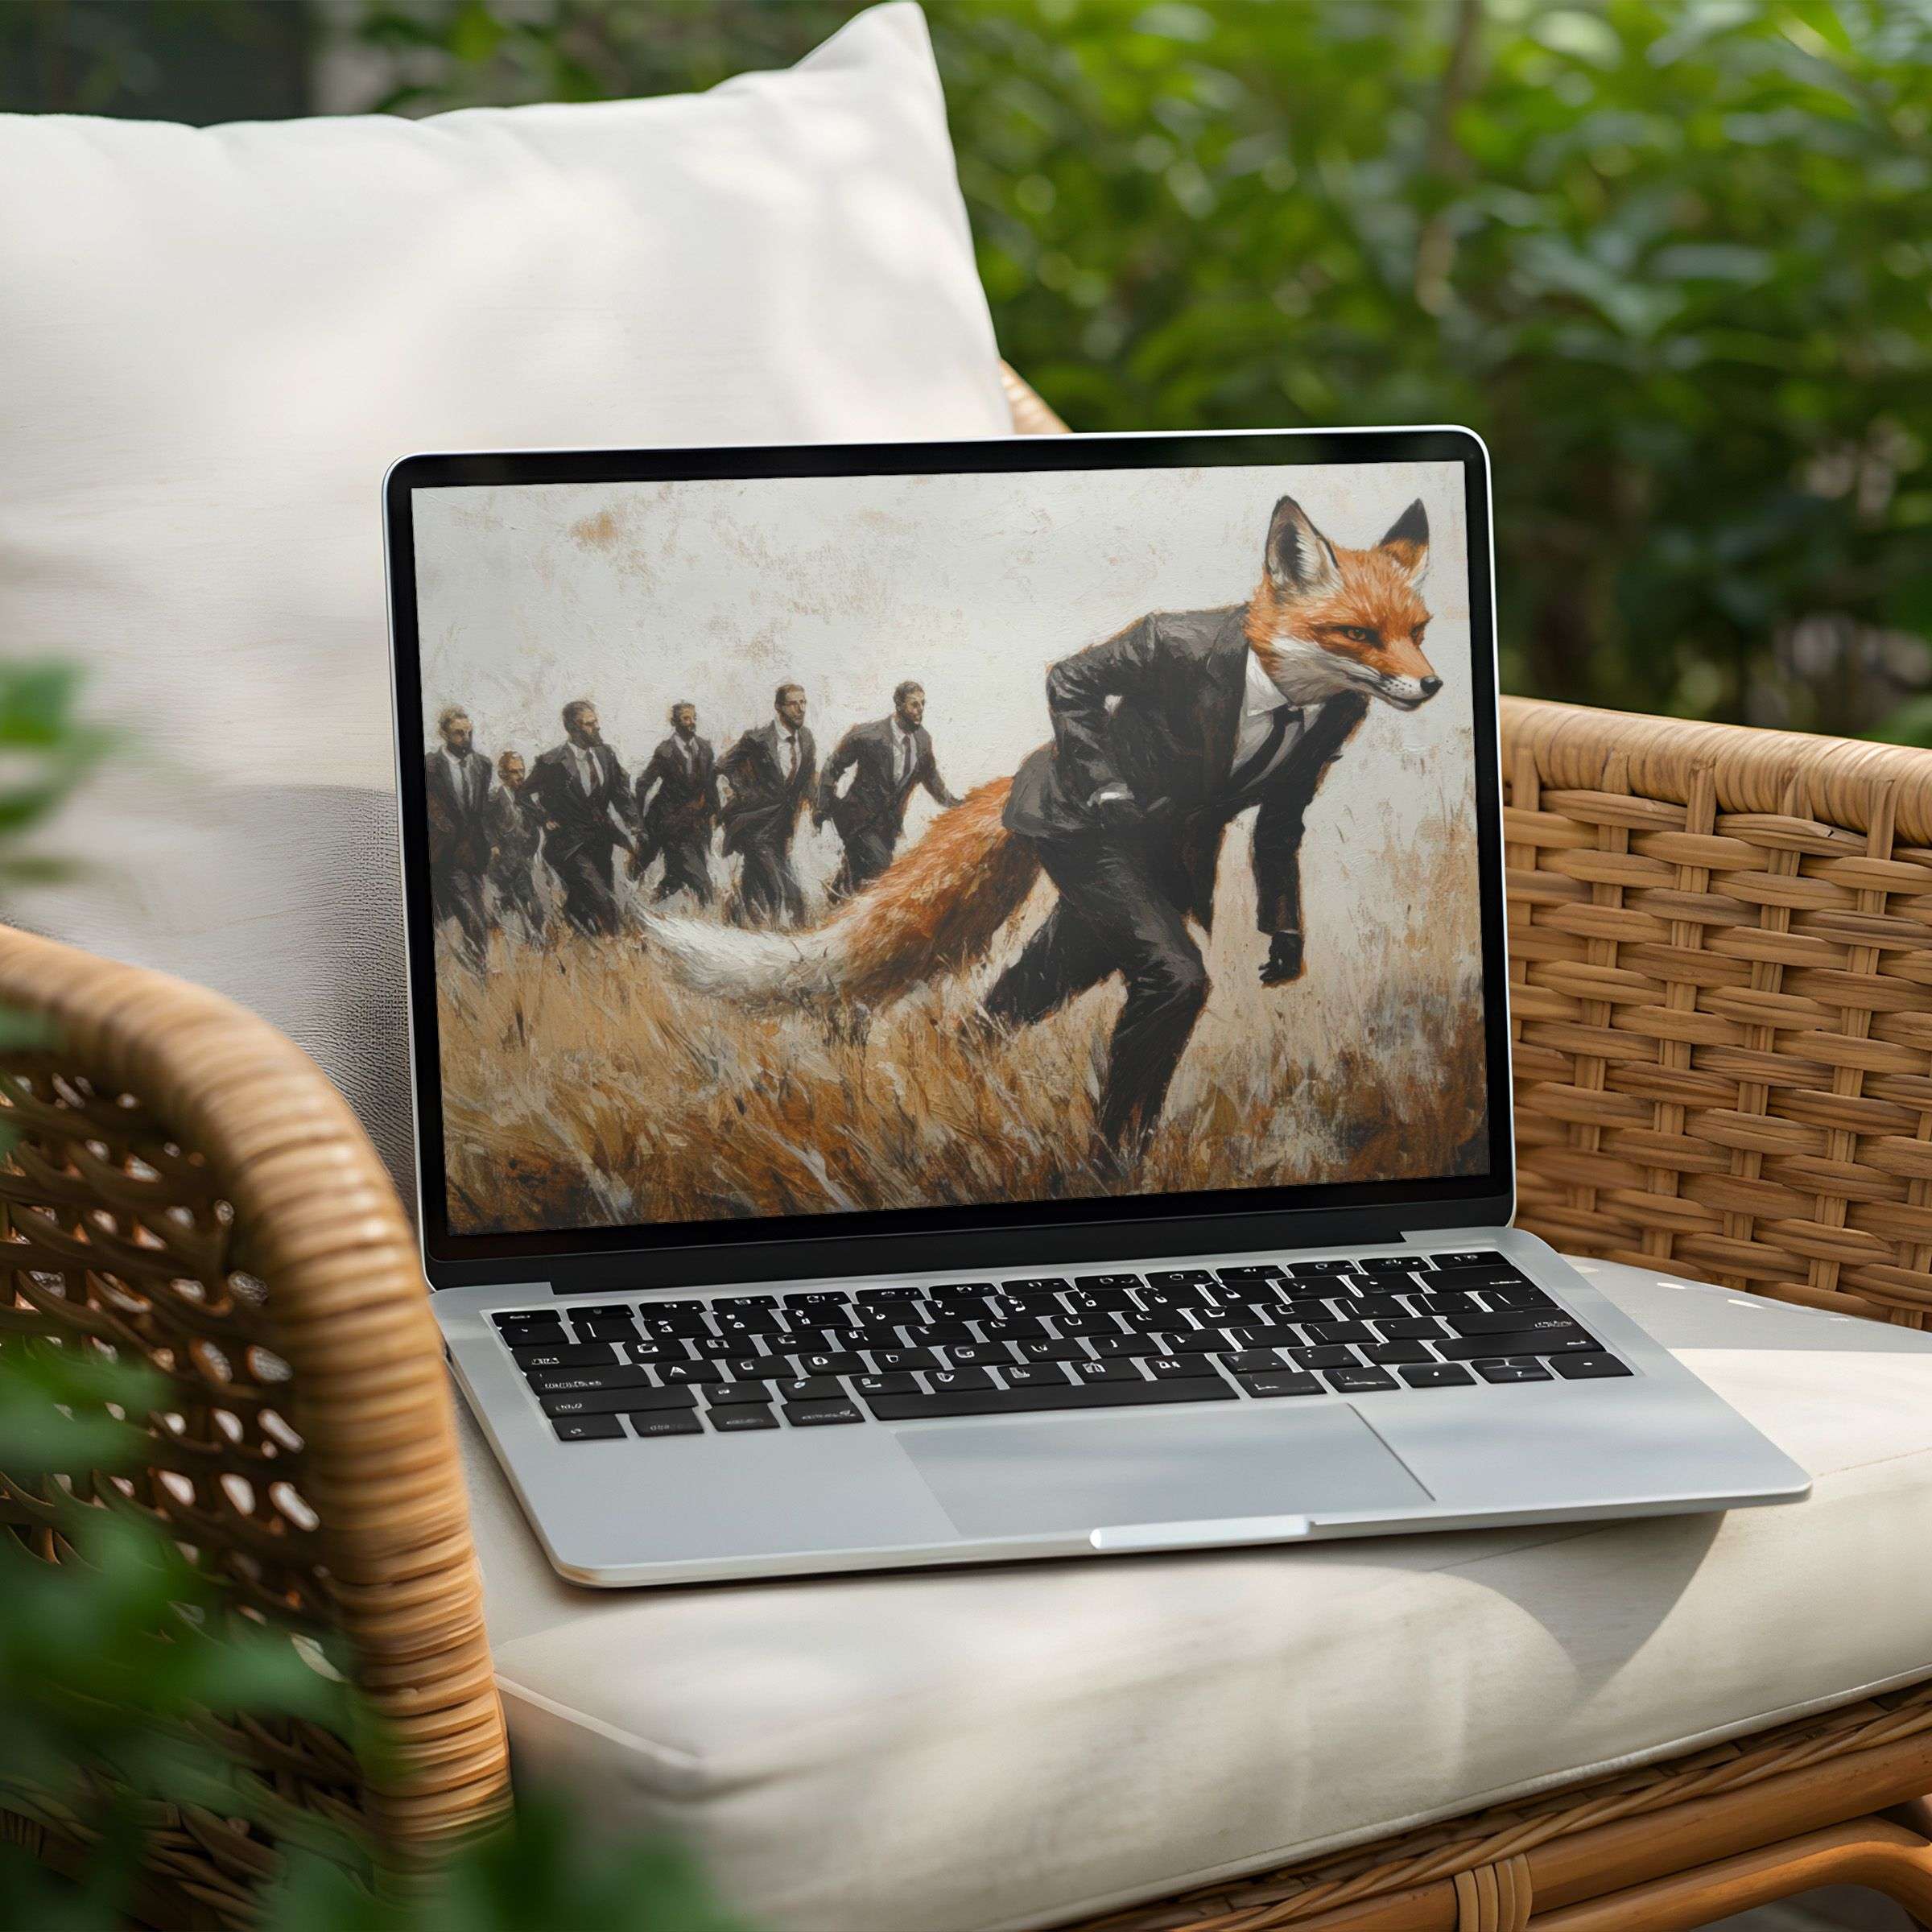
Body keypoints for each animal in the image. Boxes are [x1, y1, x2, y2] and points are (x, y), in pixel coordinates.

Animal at [642, 494, 1440, 1130]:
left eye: (1419, 630)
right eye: (1358, 633)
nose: (1432, 685)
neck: (1279, 695)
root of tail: (1017, 783)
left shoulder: (1317, 749)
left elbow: (1278, 837)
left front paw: (1285, 946)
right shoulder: (1161, 646)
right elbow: (1074, 678)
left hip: (1094, 922)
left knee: (1001, 1006)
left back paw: (953, 1074)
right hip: (1102, 885)